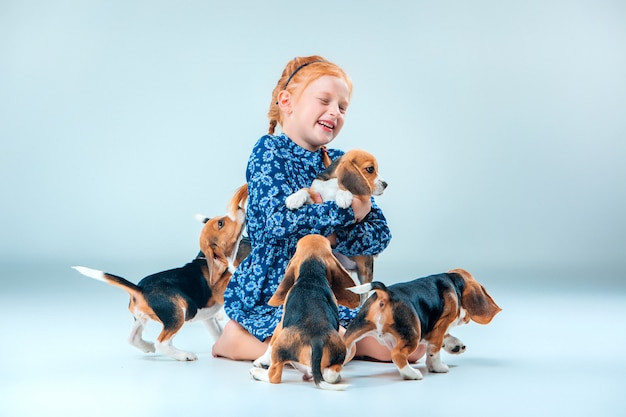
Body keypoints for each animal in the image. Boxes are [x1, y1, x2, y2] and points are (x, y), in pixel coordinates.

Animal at [72, 184, 247, 360]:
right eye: (220, 223)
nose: (240, 208)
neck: (206, 259)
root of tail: (140, 288)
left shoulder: (208, 317)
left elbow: (219, 333)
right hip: (182, 310)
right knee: (161, 342)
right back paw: (183, 355)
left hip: (141, 318)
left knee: (132, 338)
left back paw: (147, 346)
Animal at [247, 234, 358, 390]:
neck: (311, 276)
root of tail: (317, 339)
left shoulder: (280, 324)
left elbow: (269, 346)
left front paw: (260, 361)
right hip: (338, 352)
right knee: (330, 374)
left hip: (280, 346)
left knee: (274, 375)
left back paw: (257, 373)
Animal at [342, 268, 498, 378]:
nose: (466, 319)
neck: (454, 282)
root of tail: (385, 294)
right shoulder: (441, 324)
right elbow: (434, 351)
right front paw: (437, 368)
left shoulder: (434, 328)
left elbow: (444, 338)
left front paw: (456, 345)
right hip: (413, 335)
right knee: (397, 354)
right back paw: (411, 374)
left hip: (355, 329)